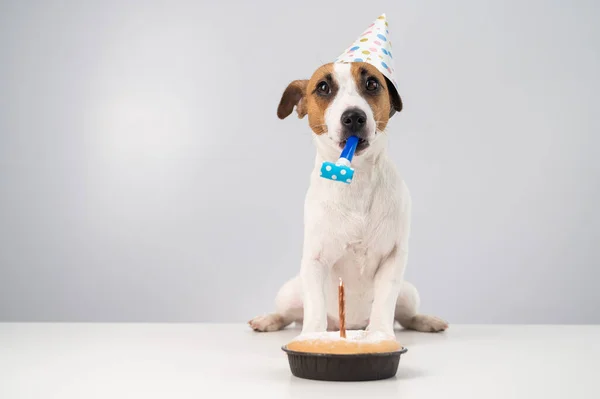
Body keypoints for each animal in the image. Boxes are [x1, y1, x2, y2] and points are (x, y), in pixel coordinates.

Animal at [246, 61, 448, 338]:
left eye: (372, 84)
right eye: (323, 87)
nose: (353, 116)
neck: (356, 179)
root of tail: (348, 324)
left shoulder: (393, 258)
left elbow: (385, 302)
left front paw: (379, 334)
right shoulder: (315, 260)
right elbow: (315, 306)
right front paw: (312, 336)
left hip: (408, 293)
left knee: (406, 315)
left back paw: (426, 320)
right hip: (289, 292)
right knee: (289, 314)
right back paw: (268, 319)